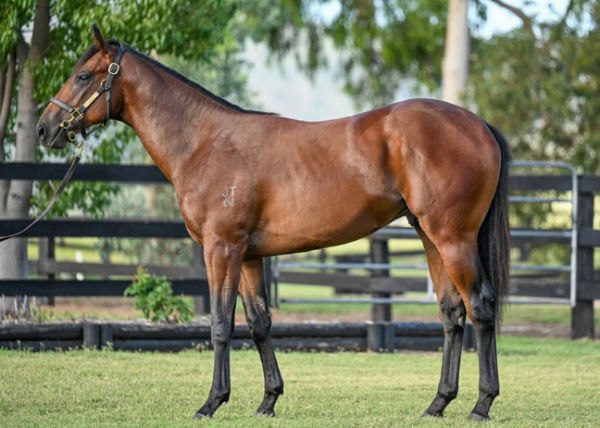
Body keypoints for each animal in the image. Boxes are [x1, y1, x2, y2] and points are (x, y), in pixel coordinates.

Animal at [35, 26, 508, 422]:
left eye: (83, 75)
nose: (44, 128)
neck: (205, 142)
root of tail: (479, 124)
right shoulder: (248, 256)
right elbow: (260, 323)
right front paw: (268, 400)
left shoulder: (220, 249)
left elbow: (220, 325)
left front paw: (212, 402)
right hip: (430, 237)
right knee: (451, 312)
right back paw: (438, 403)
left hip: (453, 239)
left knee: (480, 306)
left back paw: (481, 405)